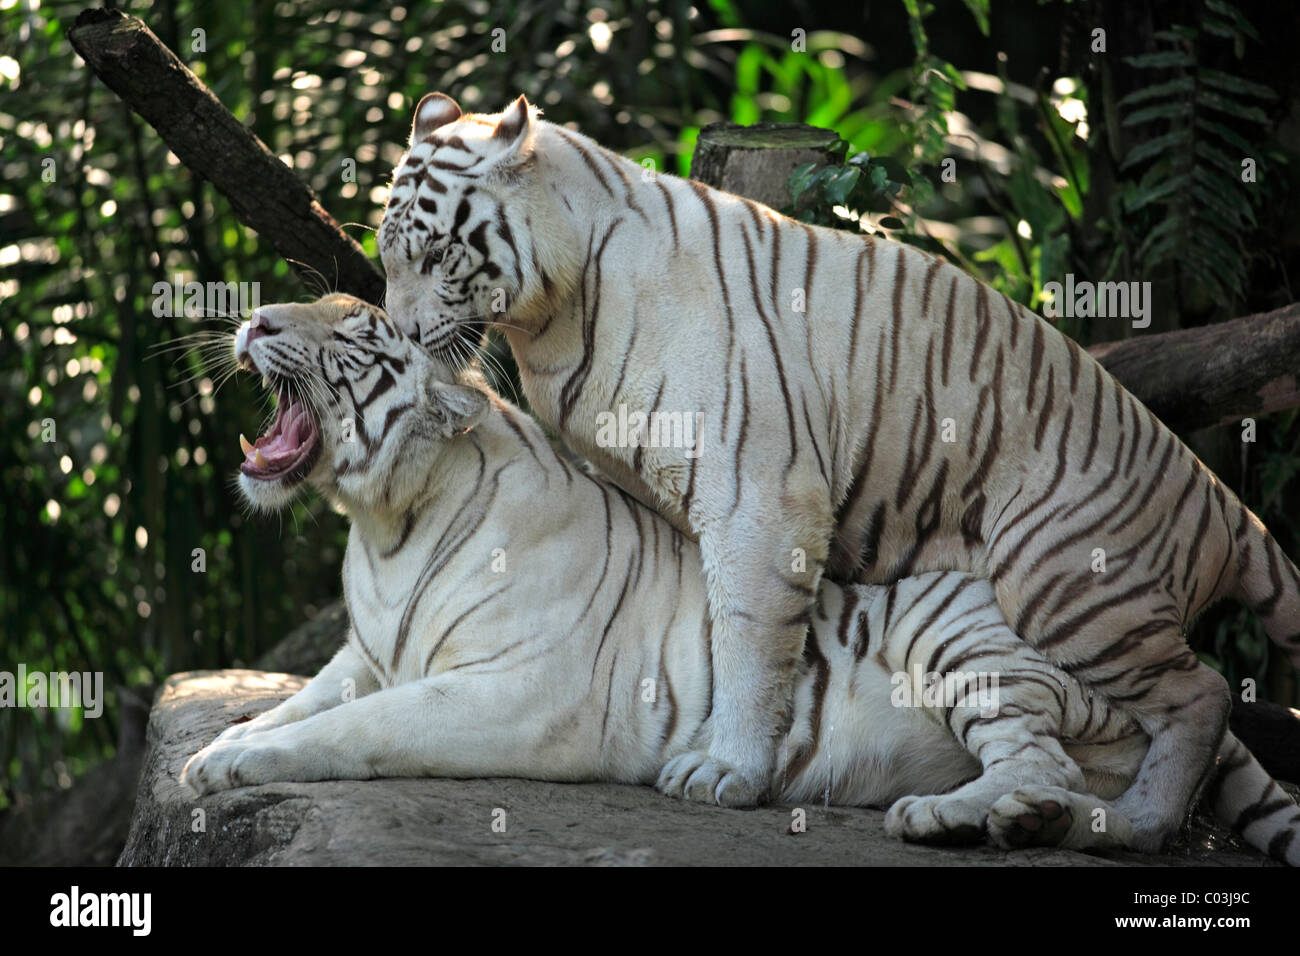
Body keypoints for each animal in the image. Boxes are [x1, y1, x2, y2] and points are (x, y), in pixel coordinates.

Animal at [183, 293, 1300, 868]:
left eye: (351, 334)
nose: (251, 320)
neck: (385, 529)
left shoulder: (514, 694)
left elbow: (355, 728)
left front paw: (242, 765)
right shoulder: (363, 652)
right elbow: (301, 700)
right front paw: (218, 750)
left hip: (970, 636)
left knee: (1049, 762)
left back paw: (952, 818)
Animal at [377, 93, 1300, 848]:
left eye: (436, 258)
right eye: (386, 261)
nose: (406, 336)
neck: (552, 318)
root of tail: (1218, 496)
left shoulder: (758, 492)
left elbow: (748, 639)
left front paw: (728, 771)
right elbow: (700, 622)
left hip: (1068, 579)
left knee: (1202, 694)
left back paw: (1137, 823)